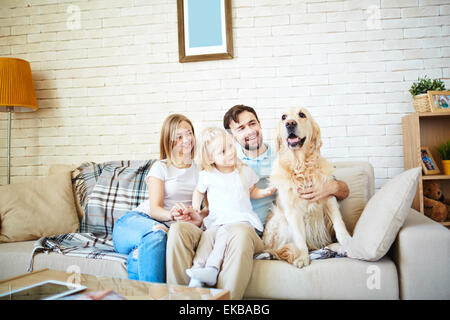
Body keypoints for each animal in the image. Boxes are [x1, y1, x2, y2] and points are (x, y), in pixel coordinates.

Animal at [264, 107, 352, 268]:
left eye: (302, 114)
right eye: (283, 117)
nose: (290, 123)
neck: (301, 166)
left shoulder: (329, 198)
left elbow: (340, 225)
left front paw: (348, 242)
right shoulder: (292, 211)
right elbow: (300, 238)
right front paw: (303, 257)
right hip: (279, 219)